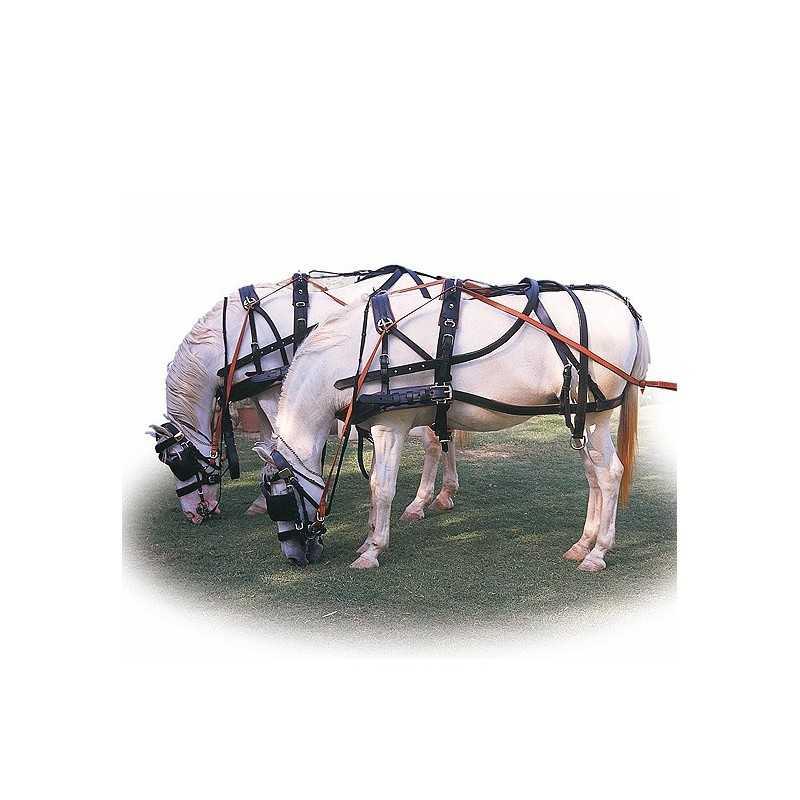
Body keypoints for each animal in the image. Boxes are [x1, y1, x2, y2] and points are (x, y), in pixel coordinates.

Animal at [147, 270, 470, 533]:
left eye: (178, 462)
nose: (194, 514)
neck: (234, 334)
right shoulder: (262, 392)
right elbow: (267, 437)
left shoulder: (271, 392)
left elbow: (274, 440)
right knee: (446, 435)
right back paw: (445, 494)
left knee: (433, 442)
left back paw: (419, 503)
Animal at [255, 281, 650, 573]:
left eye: (282, 502)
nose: (295, 559)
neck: (363, 350)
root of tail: (627, 309)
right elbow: (376, 487)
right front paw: (368, 540)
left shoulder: (390, 426)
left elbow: (381, 488)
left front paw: (373, 549)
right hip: (580, 418)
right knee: (594, 475)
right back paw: (583, 543)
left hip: (596, 418)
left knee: (610, 474)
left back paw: (597, 552)